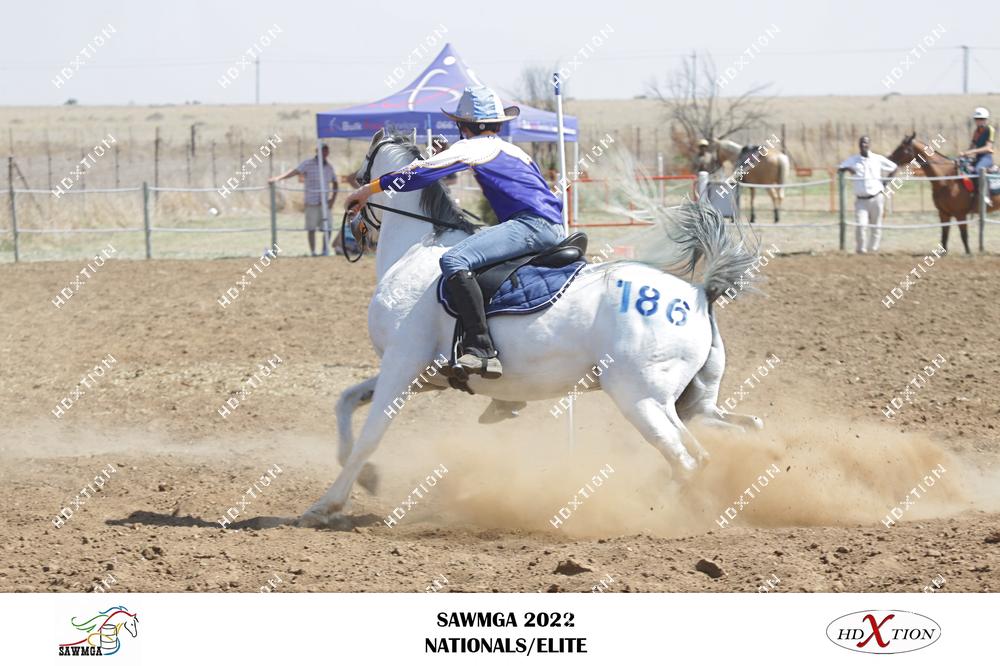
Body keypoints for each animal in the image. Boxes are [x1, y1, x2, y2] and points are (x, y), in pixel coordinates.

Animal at [298, 129, 764, 527]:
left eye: (360, 174)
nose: (347, 237)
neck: (417, 249)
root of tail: (699, 293)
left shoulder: (402, 363)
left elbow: (369, 436)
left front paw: (325, 505)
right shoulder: (423, 375)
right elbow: (345, 403)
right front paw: (366, 479)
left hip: (640, 399)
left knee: (687, 460)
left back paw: (652, 512)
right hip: (689, 403)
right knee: (734, 433)